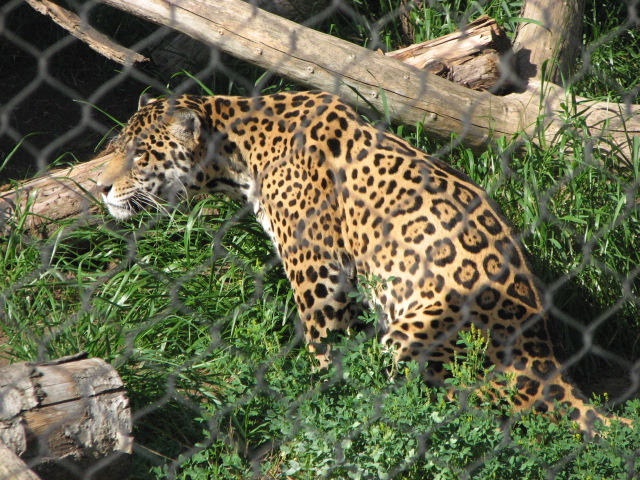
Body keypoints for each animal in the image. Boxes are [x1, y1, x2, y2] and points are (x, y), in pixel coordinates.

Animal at [96, 90, 625, 434]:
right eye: (113, 149)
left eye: (139, 156)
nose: (100, 188)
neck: (237, 154)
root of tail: (547, 366)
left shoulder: (319, 271)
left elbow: (324, 345)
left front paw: (318, 402)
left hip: (422, 333)